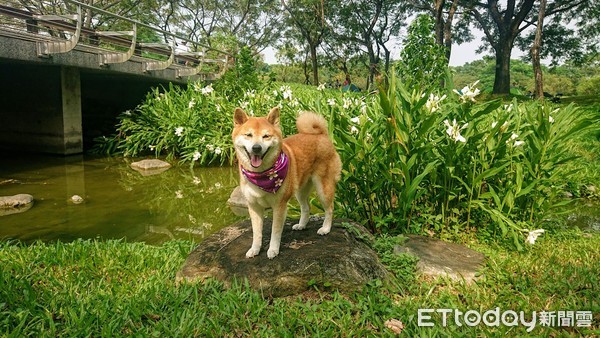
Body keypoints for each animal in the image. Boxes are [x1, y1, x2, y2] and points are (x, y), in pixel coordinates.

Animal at [232, 107, 340, 258]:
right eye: (248, 135)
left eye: (266, 136)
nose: (256, 148)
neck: (261, 175)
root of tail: (322, 135)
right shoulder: (254, 206)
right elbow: (257, 233)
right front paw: (255, 249)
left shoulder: (279, 205)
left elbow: (275, 231)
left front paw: (273, 249)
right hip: (300, 190)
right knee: (306, 207)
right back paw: (302, 225)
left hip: (323, 188)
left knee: (329, 208)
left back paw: (325, 228)